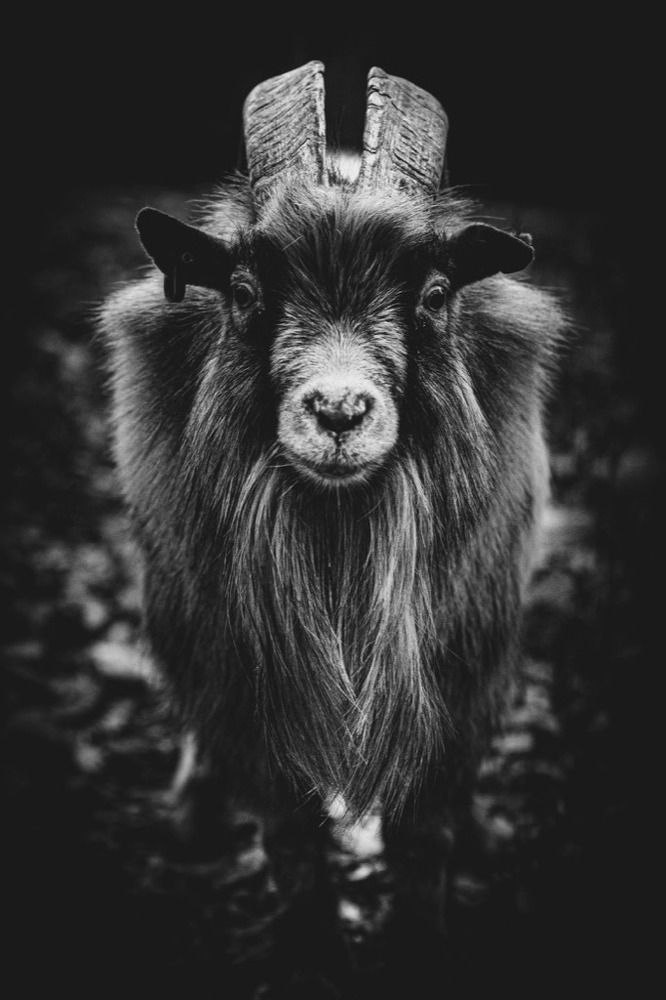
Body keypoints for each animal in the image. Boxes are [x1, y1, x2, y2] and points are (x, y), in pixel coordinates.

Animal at [99, 62, 565, 944]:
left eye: (436, 292)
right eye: (245, 290)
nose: (341, 411)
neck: (341, 534)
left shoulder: (457, 678)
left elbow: (427, 832)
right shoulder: (247, 682)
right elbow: (289, 838)